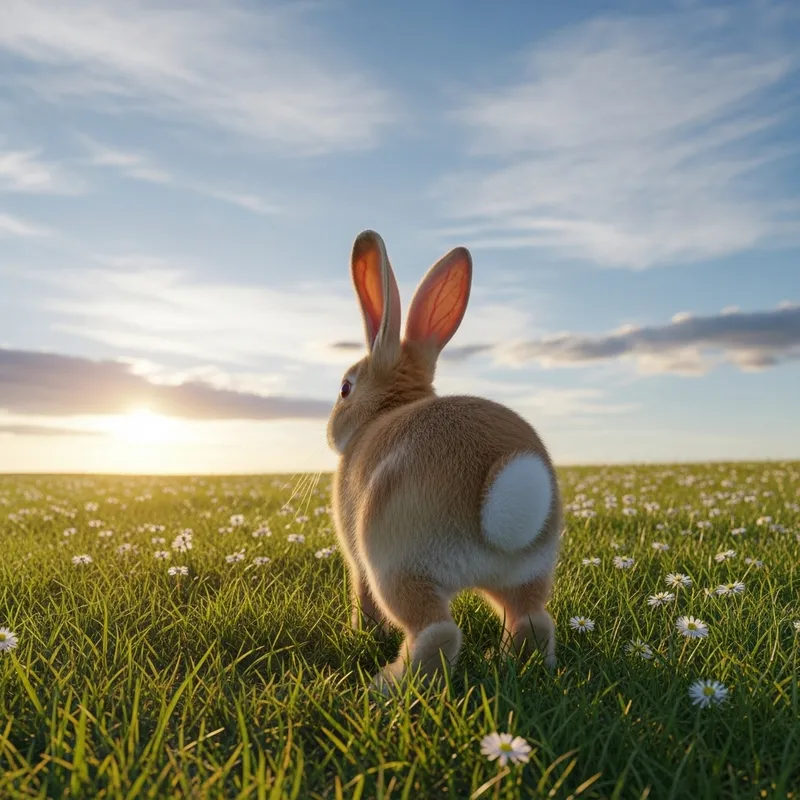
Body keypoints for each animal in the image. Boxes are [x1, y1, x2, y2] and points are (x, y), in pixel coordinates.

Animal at [327, 230, 562, 693]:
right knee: (531, 620)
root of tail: (504, 489)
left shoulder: (357, 561)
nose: (330, 432)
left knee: (437, 632)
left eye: (345, 388)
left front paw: (360, 635)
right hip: (525, 572)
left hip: (399, 566)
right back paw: (505, 662)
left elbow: (362, 600)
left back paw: (387, 685)